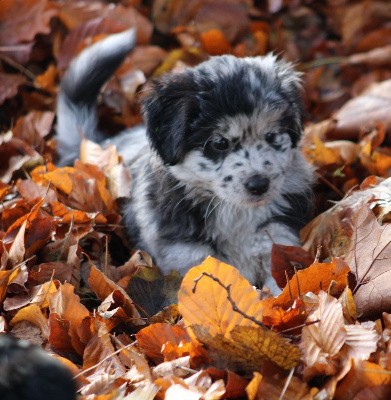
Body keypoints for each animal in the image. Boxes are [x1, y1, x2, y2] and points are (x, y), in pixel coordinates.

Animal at [56, 29, 314, 294]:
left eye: (272, 136)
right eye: (219, 142)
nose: (259, 185)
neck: (234, 212)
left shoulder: (277, 241)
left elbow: (281, 292)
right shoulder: (186, 256)